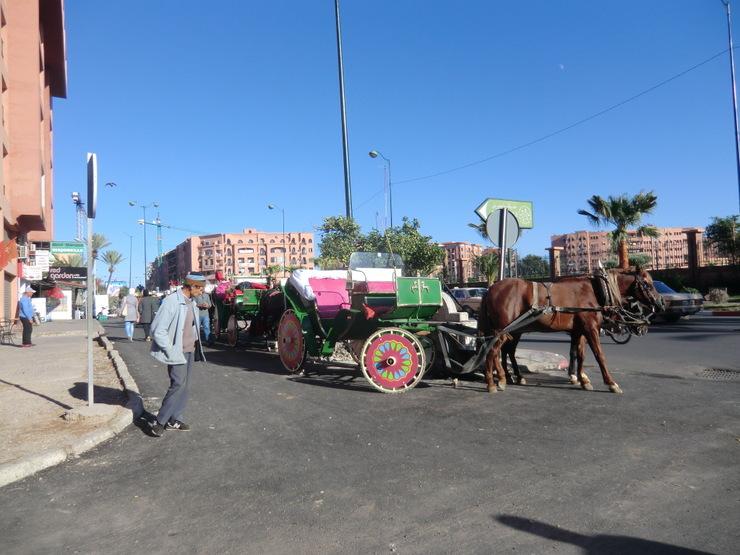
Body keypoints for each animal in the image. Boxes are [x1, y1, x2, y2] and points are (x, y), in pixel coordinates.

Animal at [478, 268, 663, 394]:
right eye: (647, 284)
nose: (660, 303)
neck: (595, 291)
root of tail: (491, 289)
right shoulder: (591, 328)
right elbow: (599, 355)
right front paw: (611, 383)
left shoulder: (579, 331)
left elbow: (579, 354)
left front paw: (581, 379)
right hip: (502, 330)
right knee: (493, 351)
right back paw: (494, 381)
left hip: (513, 330)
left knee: (503, 351)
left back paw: (507, 377)